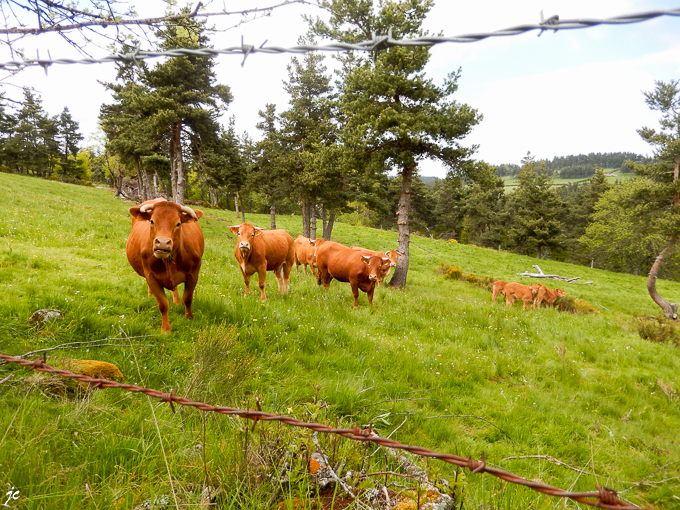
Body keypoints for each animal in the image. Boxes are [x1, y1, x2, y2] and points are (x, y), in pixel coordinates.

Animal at [125, 197, 205, 332]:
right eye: (152, 221)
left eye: (178, 224)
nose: (162, 242)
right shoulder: (151, 276)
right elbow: (163, 304)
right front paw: (166, 329)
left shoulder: (193, 274)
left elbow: (188, 298)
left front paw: (189, 317)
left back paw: (177, 302)